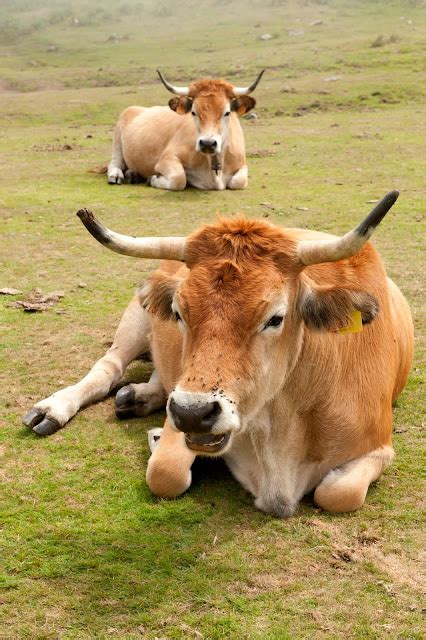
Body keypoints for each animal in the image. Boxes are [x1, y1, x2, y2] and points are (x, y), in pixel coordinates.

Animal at [23, 192, 412, 516]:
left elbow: (338, 493)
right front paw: (157, 440)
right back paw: (55, 408)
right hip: (136, 315)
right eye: (179, 312)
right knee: (109, 367)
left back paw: (139, 397)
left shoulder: (378, 446)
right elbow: (165, 473)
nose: (192, 413)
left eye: (275, 317)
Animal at [106, 70, 262, 191]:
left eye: (227, 112)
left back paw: (133, 174)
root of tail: (136, 108)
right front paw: (152, 179)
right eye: (193, 112)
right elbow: (179, 179)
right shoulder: (166, 159)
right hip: (117, 140)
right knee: (115, 163)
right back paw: (117, 176)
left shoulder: (242, 164)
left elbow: (239, 182)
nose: (207, 143)